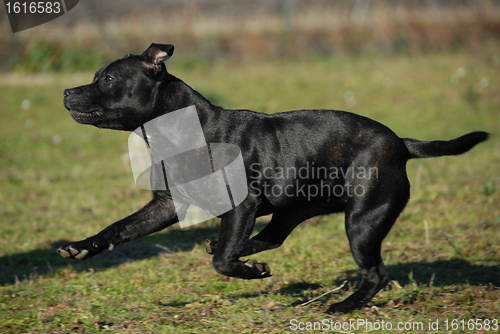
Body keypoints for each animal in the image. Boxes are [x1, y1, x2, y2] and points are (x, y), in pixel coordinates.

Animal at [59, 43, 488, 312]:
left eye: (108, 80)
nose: (65, 91)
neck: (184, 132)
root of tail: (400, 143)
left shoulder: (242, 205)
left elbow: (223, 264)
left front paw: (247, 271)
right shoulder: (166, 205)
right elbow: (119, 228)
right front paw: (82, 246)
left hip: (363, 221)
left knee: (376, 273)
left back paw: (344, 306)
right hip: (295, 209)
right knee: (272, 237)